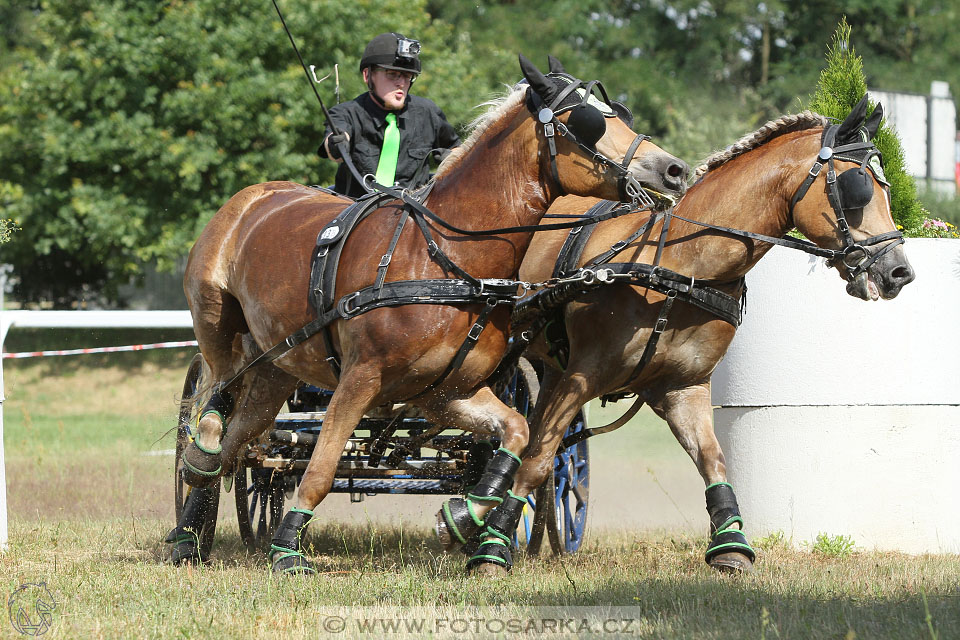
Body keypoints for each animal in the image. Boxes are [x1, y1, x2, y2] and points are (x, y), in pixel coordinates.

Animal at [169, 56, 688, 576]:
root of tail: (250, 198)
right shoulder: (360, 377)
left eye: (619, 113)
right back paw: (193, 492)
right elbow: (321, 467)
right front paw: (287, 551)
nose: (675, 170)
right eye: (588, 120)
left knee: (242, 434)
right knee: (216, 399)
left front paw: (463, 517)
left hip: (280, 364)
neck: (446, 256)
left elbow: (517, 434)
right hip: (217, 324)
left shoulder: (446, 392)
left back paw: (194, 513)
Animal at [458, 99, 916, 576]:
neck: (679, 268)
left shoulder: (684, 388)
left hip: (550, 367)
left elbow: (712, 460)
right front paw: (491, 546)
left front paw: (731, 544)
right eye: (858, 188)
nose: (900, 271)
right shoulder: (580, 376)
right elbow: (535, 459)